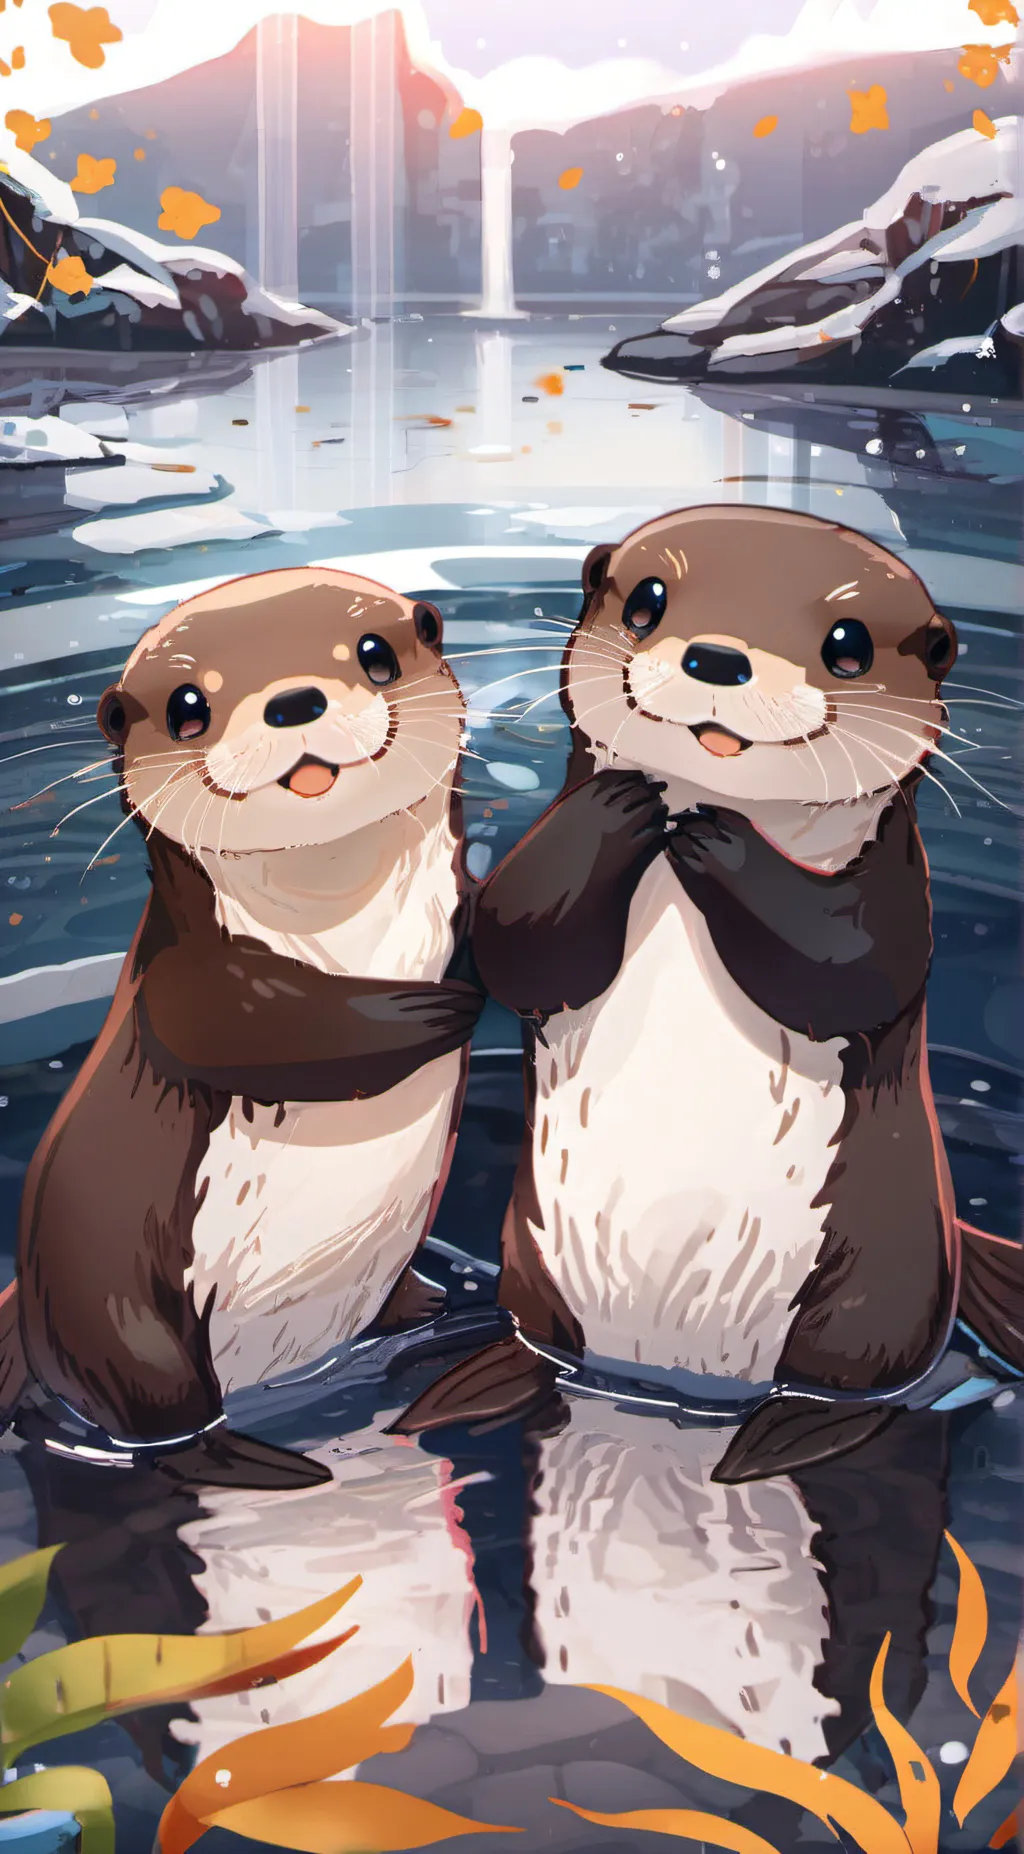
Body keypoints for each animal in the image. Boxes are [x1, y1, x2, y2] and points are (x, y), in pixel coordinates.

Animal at [0, 567, 483, 1489]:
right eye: (189, 705)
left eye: (375, 653)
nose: (294, 700)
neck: (355, 939)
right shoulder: (183, 980)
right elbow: (261, 1027)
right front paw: (439, 1008)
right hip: (118, 1306)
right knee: (159, 1412)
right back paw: (266, 1462)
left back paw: (455, 1314)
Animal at [395, 506, 1024, 1480]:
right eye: (647, 602)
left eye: (847, 645)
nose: (719, 658)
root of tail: (666, 1383)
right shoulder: (528, 885)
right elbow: (516, 939)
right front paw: (630, 806)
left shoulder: (894, 890)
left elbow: (850, 964)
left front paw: (717, 838)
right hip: (533, 1269)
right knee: (538, 1341)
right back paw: (476, 1378)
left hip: (874, 1281)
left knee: (864, 1384)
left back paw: (785, 1435)